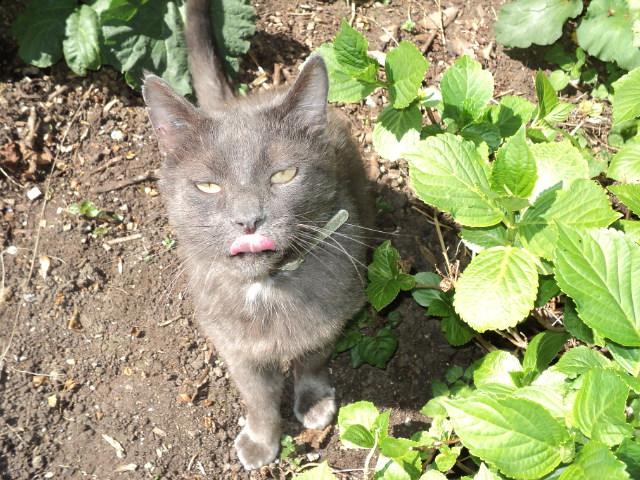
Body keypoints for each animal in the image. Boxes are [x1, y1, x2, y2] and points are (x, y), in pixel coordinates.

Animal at [141, 0, 370, 468]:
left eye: (283, 174)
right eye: (208, 186)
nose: (248, 220)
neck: (266, 288)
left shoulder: (334, 314)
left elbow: (312, 359)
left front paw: (314, 403)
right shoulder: (233, 344)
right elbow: (258, 395)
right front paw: (261, 440)